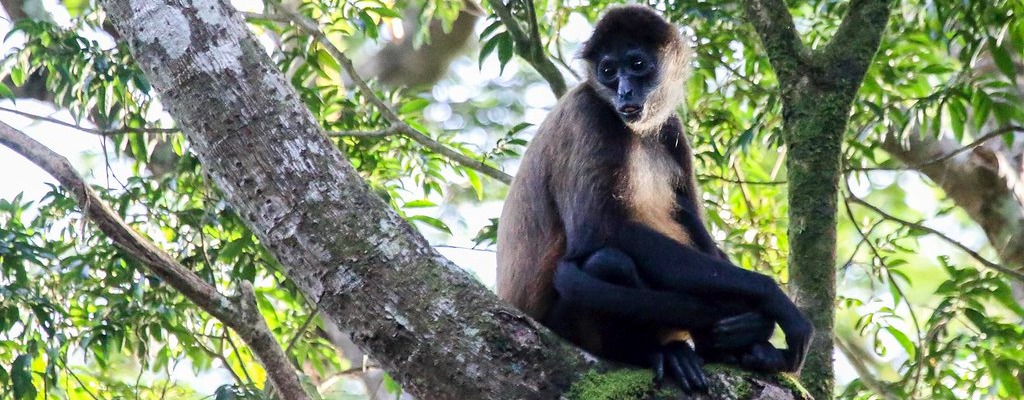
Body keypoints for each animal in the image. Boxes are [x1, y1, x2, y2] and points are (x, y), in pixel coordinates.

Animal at [497, 5, 815, 394]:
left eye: (636, 65)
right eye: (607, 71)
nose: (623, 90)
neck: (635, 131)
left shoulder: (671, 129)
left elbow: (690, 219)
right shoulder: (588, 113)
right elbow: (600, 233)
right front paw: (770, 300)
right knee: (606, 261)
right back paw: (660, 351)